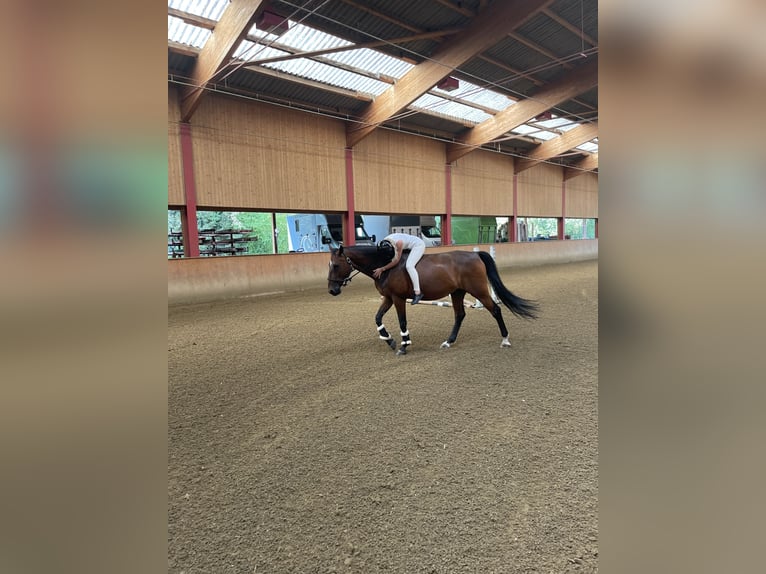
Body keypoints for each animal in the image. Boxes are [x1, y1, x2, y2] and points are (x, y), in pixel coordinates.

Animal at [326, 242, 540, 356]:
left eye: (335, 265)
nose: (332, 290)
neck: (386, 265)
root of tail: (475, 255)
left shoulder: (398, 298)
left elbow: (402, 321)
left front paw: (403, 346)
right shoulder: (387, 298)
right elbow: (377, 318)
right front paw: (390, 340)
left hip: (478, 291)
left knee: (495, 310)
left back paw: (505, 340)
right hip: (457, 292)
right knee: (459, 315)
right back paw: (448, 342)